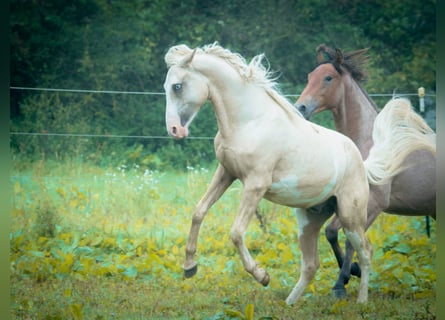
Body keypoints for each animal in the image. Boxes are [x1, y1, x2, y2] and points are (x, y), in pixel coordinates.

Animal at [163, 43, 372, 304]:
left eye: (177, 86)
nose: (174, 130)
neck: (249, 121)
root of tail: (360, 159)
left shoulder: (255, 185)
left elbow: (236, 233)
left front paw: (262, 276)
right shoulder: (226, 173)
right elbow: (199, 212)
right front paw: (189, 266)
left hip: (350, 217)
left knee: (365, 252)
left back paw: (361, 300)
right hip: (309, 220)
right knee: (312, 264)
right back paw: (290, 303)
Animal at [294, 44, 436, 298]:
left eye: (328, 78)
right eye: (310, 77)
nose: (300, 107)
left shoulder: (373, 205)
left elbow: (350, 239)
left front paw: (342, 283)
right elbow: (331, 233)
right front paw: (353, 271)